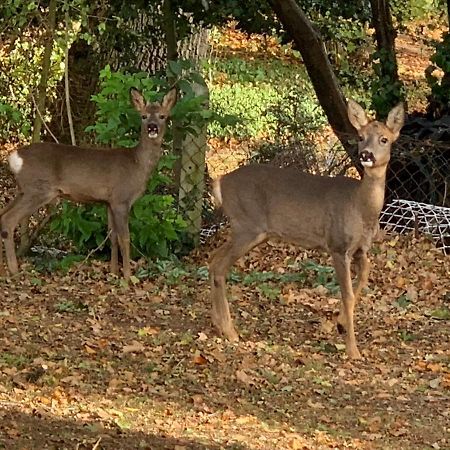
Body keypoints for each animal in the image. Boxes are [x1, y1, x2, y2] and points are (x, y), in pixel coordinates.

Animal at [0, 87, 178, 278]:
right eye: (143, 116)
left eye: (162, 116)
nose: (152, 127)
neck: (137, 164)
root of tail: (14, 157)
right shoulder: (121, 199)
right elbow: (125, 238)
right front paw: (128, 277)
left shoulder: (109, 202)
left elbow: (112, 237)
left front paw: (113, 273)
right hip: (38, 189)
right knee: (9, 219)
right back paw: (14, 270)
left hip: (23, 190)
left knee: (3, 214)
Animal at [209, 101, 406, 358]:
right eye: (361, 137)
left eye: (384, 139)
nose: (366, 155)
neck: (360, 208)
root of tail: (221, 181)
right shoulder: (337, 245)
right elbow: (347, 293)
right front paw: (352, 350)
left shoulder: (361, 249)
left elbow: (363, 277)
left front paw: (340, 324)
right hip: (247, 225)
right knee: (220, 267)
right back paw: (230, 331)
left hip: (245, 230)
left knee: (213, 260)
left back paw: (218, 324)